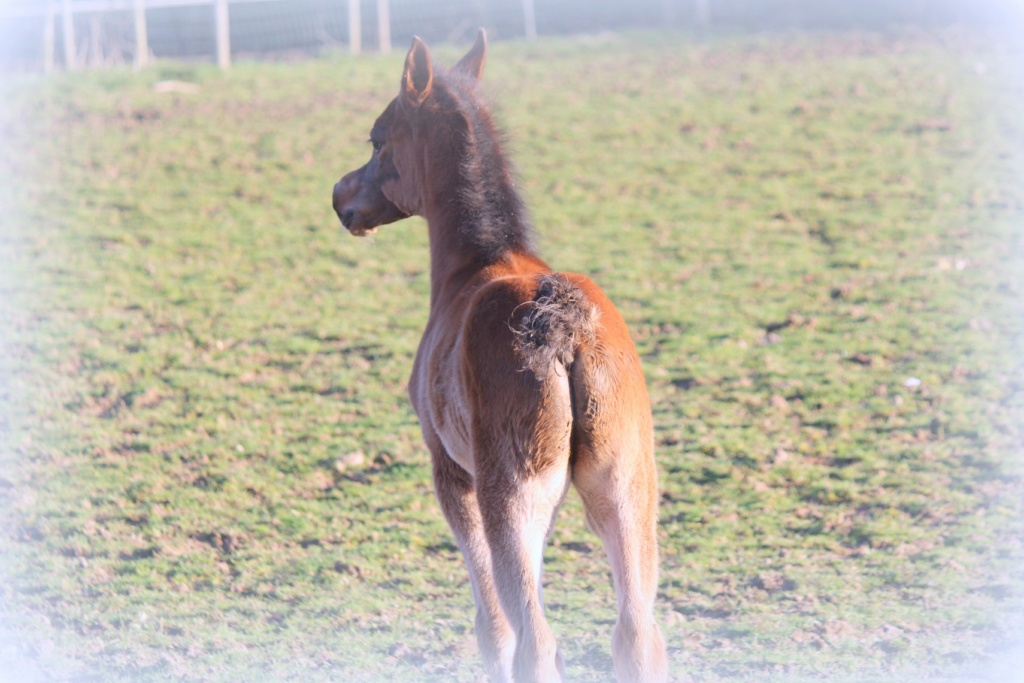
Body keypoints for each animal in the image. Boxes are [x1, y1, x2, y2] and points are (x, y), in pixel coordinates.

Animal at [331, 29, 667, 679]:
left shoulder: (451, 473)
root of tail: (564, 331)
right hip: (626, 490)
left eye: (378, 138)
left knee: (534, 639)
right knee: (638, 633)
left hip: (511, 497)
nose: (340, 196)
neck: (478, 264)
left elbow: (493, 627)